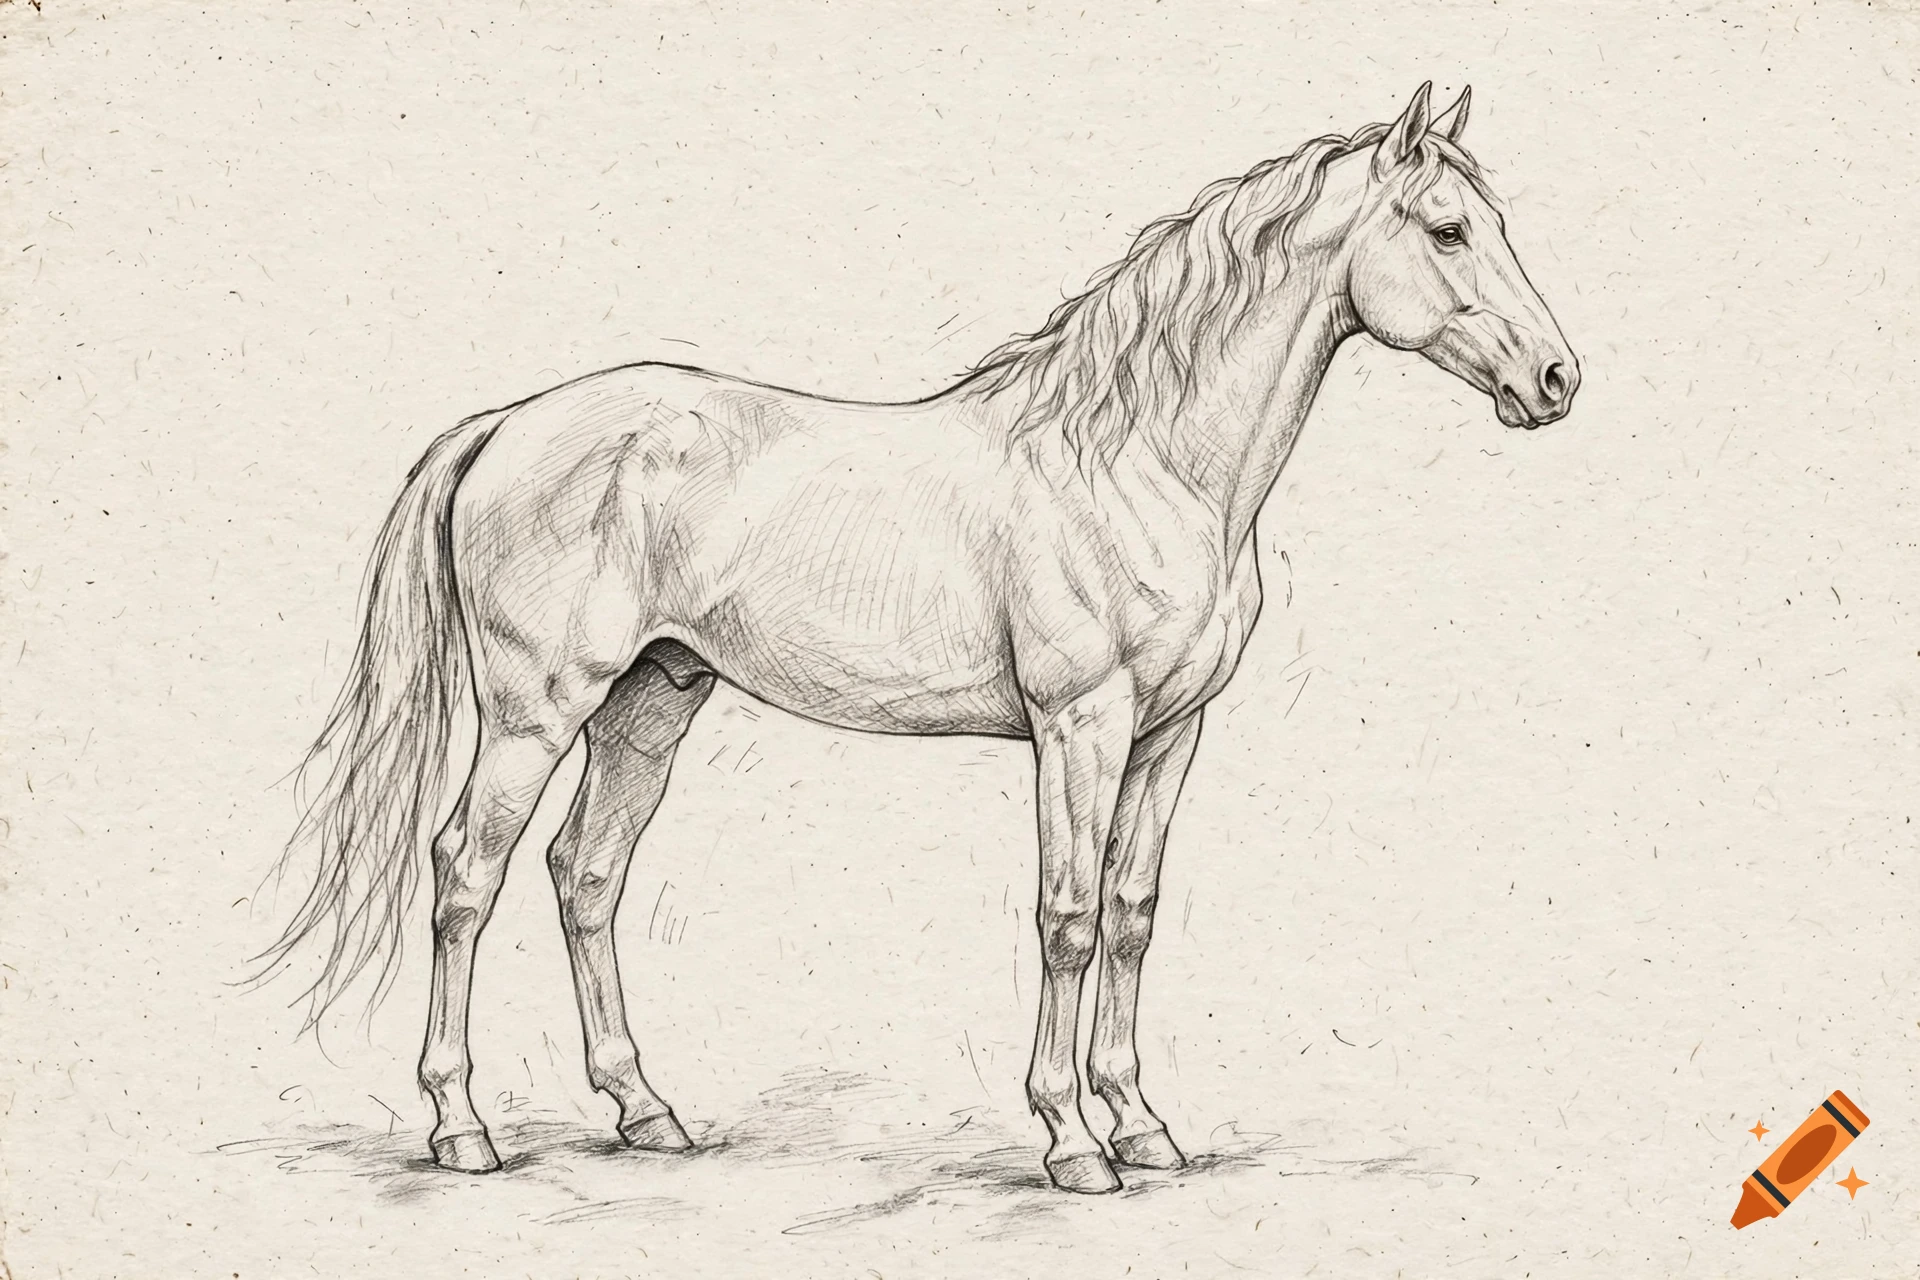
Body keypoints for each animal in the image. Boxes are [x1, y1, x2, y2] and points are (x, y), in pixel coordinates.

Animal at [260, 82, 1579, 1195]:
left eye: (1496, 222)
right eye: (1449, 229)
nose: (1558, 379)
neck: (1139, 462)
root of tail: (504, 425)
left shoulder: (1169, 734)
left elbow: (1134, 911)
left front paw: (1143, 1125)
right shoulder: (1080, 725)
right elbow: (1068, 914)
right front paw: (1071, 1141)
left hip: (649, 702)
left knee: (586, 874)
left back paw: (647, 1111)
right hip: (538, 711)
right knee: (463, 876)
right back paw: (461, 1128)